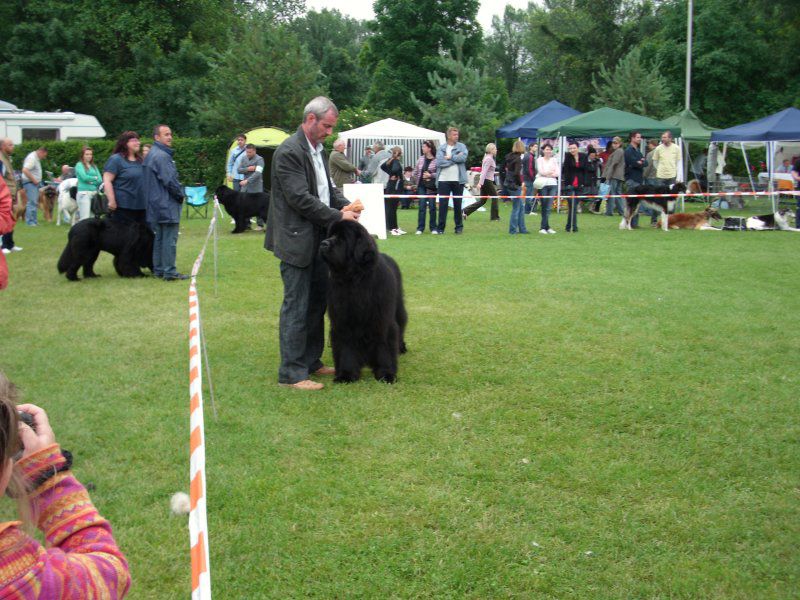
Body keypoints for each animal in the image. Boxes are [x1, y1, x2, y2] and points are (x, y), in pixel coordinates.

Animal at [318, 218, 406, 382]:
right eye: (330, 235)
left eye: (342, 238)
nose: (323, 243)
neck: (354, 279)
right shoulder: (343, 320)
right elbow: (346, 347)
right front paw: (346, 374)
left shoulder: (381, 319)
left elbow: (384, 344)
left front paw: (386, 373)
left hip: (398, 307)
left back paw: (401, 347)